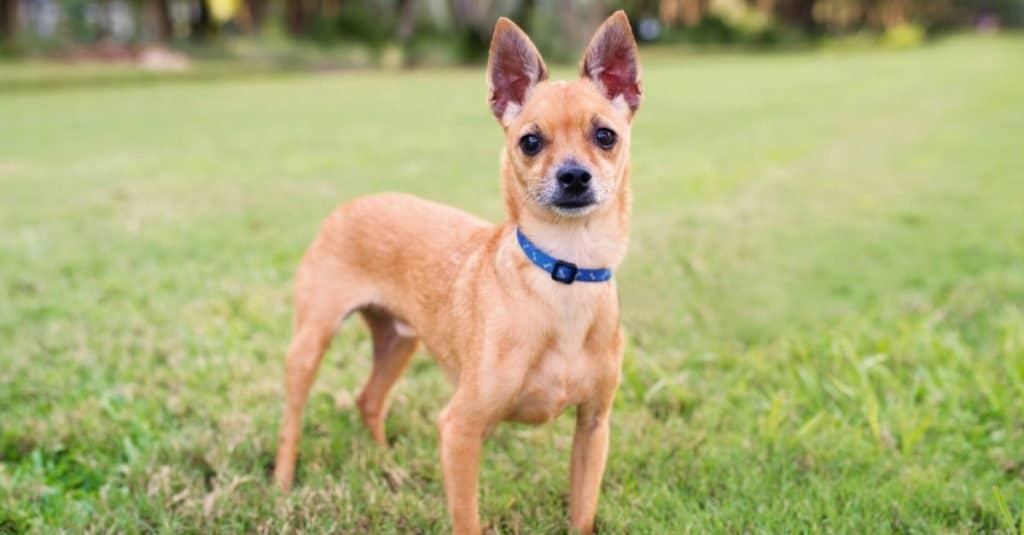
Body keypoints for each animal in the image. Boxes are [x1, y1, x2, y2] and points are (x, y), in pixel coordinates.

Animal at [272, 12, 638, 532]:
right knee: (293, 417)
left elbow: (581, 514)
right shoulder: (460, 429)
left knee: (369, 400)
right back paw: (283, 482)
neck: (563, 270)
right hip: (311, 341)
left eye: (605, 136)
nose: (573, 176)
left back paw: (388, 466)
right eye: (530, 142)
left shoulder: (593, 426)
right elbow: (467, 518)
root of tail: (351, 204)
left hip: (399, 341)